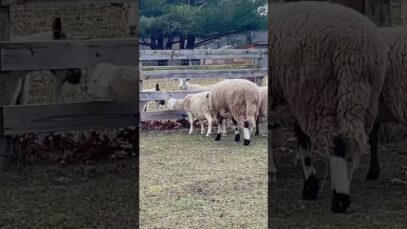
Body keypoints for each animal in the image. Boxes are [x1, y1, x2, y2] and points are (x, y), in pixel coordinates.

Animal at [270, 1, 388, 213]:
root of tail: (352, 47)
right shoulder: (294, 104)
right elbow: (301, 140)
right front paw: (309, 185)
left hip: (320, 96)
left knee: (338, 142)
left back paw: (340, 199)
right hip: (362, 96)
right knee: (353, 140)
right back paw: (344, 186)